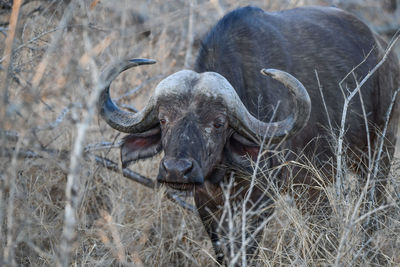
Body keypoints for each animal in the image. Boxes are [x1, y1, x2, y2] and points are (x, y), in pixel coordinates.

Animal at [97, 5, 400, 264]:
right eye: (163, 119)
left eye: (218, 123)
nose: (176, 170)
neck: (224, 174)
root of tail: (383, 53)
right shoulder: (206, 203)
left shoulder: (259, 200)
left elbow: (247, 248)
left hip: (378, 155)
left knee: (372, 211)